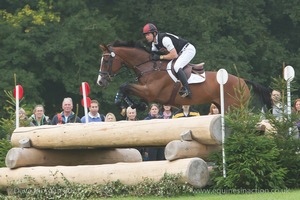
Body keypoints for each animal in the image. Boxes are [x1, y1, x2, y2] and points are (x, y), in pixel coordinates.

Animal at [96, 40, 272, 112]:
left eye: (106, 60)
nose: (100, 81)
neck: (149, 67)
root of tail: (242, 81)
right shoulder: (145, 91)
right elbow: (126, 88)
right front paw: (135, 105)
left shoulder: (150, 92)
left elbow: (124, 86)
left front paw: (125, 104)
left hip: (234, 107)